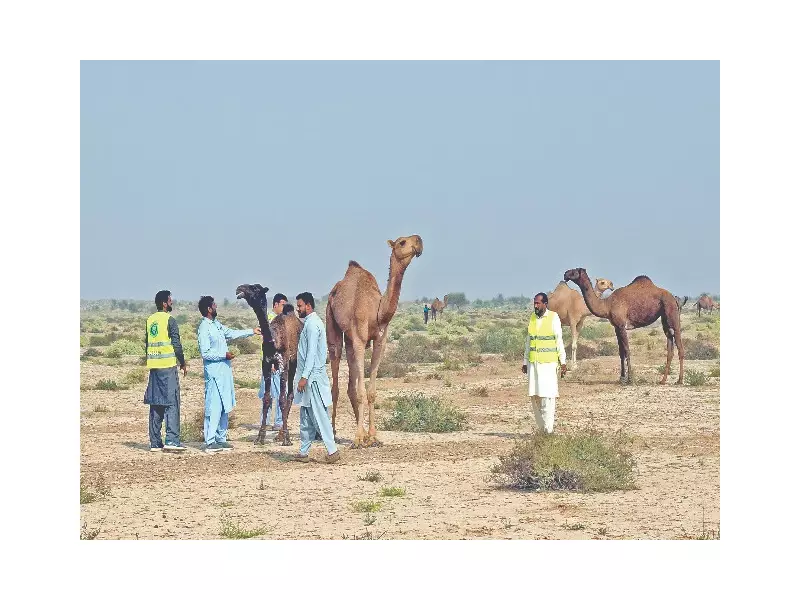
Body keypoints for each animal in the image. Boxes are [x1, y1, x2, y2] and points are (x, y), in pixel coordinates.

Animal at [235, 283, 303, 446]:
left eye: (254, 288)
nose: (239, 288)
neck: (273, 341)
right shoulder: (266, 365)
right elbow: (266, 399)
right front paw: (260, 437)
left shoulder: (283, 363)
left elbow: (282, 399)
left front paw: (287, 439)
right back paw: (279, 434)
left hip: (294, 363)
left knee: (290, 394)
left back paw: (282, 434)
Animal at [326, 235, 423, 448]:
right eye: (402, 242)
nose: (419, 242)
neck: (376, 311)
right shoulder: (360, 339)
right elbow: (362, 392)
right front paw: (357, 438)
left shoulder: (380, 341)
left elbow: (370, 392)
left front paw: (372, 436)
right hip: (332, 323)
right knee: (335, 379)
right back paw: (333, 432)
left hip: (350, 341)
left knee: (351, 386)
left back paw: (361, 432)